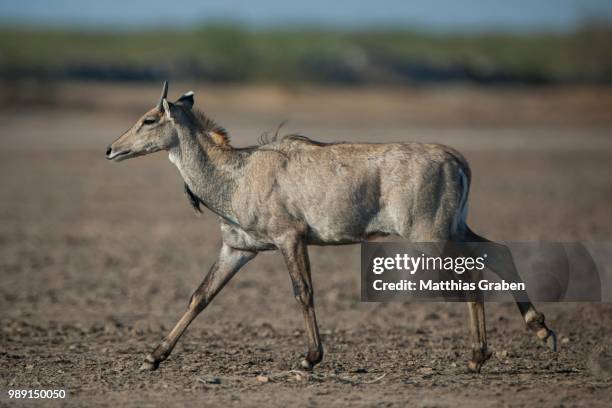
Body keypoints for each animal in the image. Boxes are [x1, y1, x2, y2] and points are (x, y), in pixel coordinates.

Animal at [106, 82, 560, 372]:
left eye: (149, 119)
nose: (111, 148)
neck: (235, 174)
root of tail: (458, 161)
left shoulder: (290, 238)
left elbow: (303, 293)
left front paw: (310, 357)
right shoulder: (238, 248)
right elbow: (200, 296)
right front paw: (153, 356)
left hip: (429, 236)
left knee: (470, 277)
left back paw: (478, 356)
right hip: (454, 228)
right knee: (498, 250)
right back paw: (541, 330)